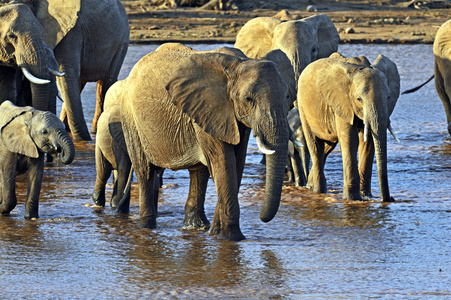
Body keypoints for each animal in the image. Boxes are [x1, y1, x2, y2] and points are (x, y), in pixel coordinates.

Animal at [0, 0, 130, 141]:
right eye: (11, 36)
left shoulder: (70, 31)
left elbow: (67, 76)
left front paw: (83, 140)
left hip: (122, 42)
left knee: (105, 83)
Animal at [119, 43, 290, 241]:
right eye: (249, 99)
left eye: (287, 97)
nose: (262, 218)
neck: (238, 64)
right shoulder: (209, 109)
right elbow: (224, 164)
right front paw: (232, 238)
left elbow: (236, 164)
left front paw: (216, 233)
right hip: (131, 119)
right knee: (145, 171)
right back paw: (147, 227)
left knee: (198, 172)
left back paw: (196, 227)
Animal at [298, 54, 400, 203]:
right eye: (359, 99)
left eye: (388, 97)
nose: (391, 198)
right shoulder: (342, 103)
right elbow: (350, 141)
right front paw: (353, 199)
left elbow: (368, 142)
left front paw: (366, 197)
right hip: (303, 107)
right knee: (316, 147)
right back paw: (318, 190)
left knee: (327, 147)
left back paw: (311, 186)